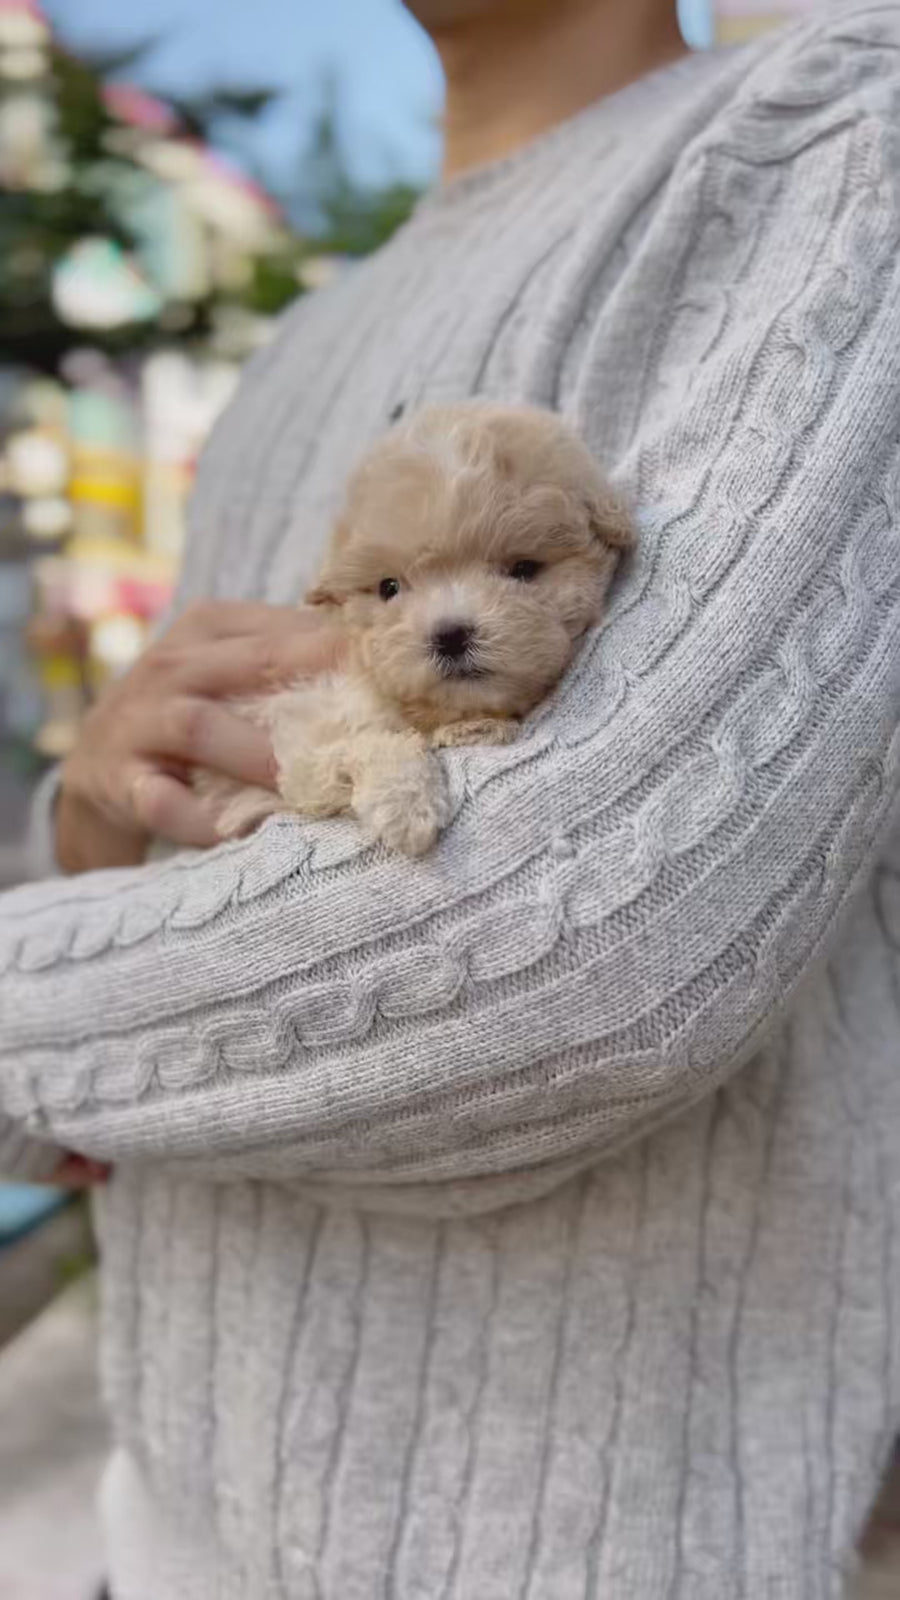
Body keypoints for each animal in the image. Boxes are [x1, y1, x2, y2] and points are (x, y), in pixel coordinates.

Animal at [197, 406, 630, 857]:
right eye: (389, 587)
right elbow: (367, 743)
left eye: (524, 569)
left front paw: (471, 730)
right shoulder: (307, 740)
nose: (451, 635)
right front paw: (404, 803)